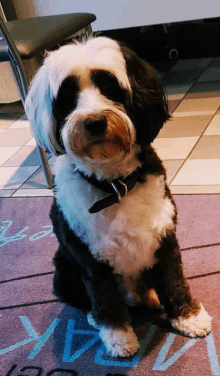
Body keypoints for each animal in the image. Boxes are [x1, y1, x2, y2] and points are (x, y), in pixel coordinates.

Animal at [24, 36, 212, 356]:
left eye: (109, 86)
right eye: (69, 96)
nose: (94, 122)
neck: (115, 186)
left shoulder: (165, 237)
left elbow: (174, 279)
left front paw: (189, 316)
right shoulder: (91, 260)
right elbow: (105, 298)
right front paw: (118, 337)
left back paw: (150, 297)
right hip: (63, 271)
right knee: (91, 300)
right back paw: (96, 317)